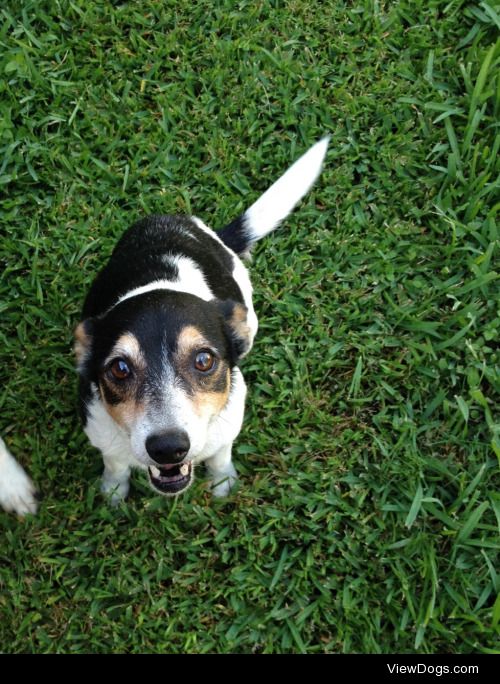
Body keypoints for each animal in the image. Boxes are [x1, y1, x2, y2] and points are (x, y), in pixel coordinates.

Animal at [74, 138, 328, 502]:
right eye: (119, 368)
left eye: (204, 360)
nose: (168, 447)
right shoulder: (100, 431)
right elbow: (116, 463)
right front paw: (113, 493)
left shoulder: (226, 429)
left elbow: (220, 456)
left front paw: (223, 484)